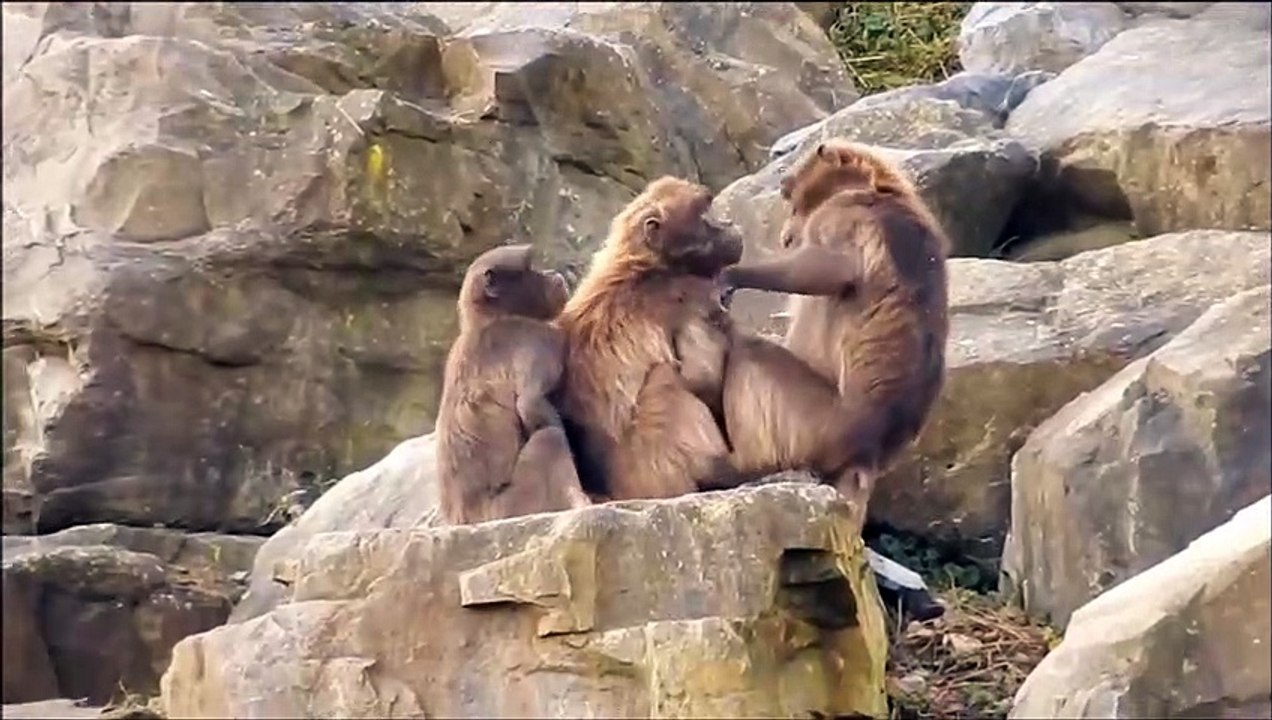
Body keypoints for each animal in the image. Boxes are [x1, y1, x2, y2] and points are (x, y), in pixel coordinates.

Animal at [435, 244, 592, 525]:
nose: (552, 274)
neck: (490, 319)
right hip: (511, 505)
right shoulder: (539, 337)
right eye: (529, 266)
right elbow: (529, 404)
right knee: (549, 439)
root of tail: (469, 518)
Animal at [553, 176, 746, 501]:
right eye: (702, 213)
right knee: (665, 380)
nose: (729, 224)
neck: (650, 265)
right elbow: (703, 378)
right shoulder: (692, 295)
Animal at [715, 139, 951, 500]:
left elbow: (828, 269)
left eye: (792, 199)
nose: (786, 236)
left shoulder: (842, 215)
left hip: (813, 423)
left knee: (747, 353)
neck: (876, 189)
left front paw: (731, 274)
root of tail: (867, 453)